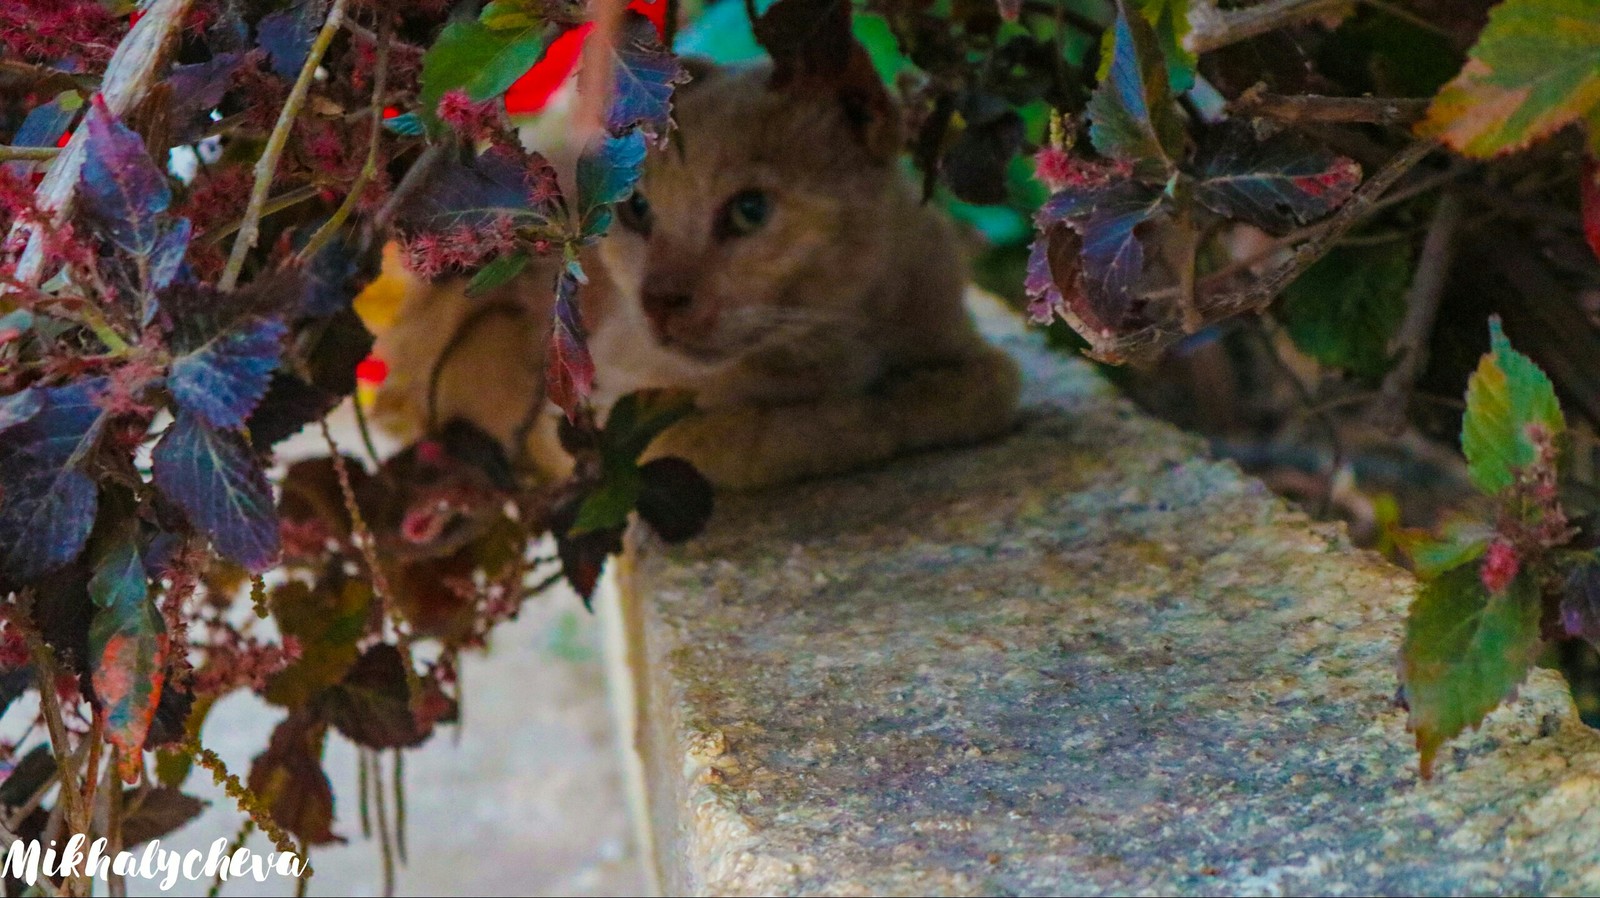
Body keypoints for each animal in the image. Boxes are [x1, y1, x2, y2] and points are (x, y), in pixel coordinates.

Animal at [368, 60, 1017, 489]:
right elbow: (758, 439)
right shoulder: (604, 416)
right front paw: (862, 416)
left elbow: (990, 385)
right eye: (637, 209)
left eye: (750, 211)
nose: (659, 300)